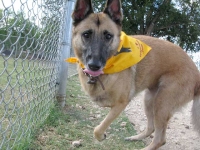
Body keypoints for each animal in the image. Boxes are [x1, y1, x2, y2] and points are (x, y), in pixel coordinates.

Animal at [70, 0, 200, 149]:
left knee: (160, 139)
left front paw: (101, 135)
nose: (94, 65)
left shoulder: (121, 103)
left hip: (162, 103)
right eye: (86, 34)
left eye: (108, 36)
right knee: (151, 128)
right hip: (149, 99)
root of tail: (197, 75)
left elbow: (98, 128)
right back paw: (135, 137)